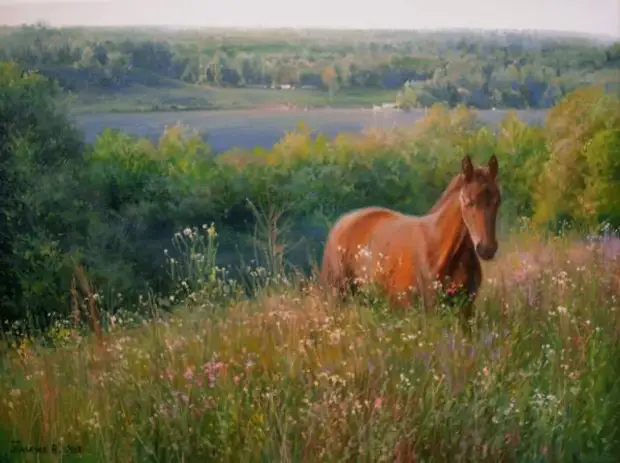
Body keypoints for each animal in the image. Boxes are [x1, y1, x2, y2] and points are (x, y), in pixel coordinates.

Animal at [318, 154, 502, 320]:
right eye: (469, 202)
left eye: (497, 201)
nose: (487, 249)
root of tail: (342, 223)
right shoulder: (431, 310)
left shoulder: (466, 310)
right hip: (337, 297)